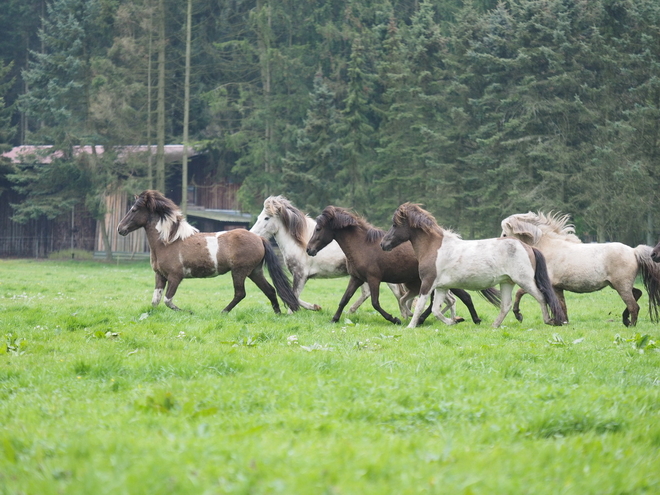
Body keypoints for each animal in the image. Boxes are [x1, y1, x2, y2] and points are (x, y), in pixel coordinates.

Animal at [116, 190, 300, 314]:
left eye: (134, 209)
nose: (120, 229)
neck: (168, 241)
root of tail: (260, 239)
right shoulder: (160, 276)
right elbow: (155, 300)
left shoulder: (176, 277)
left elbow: (168, 300)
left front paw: (188, 312)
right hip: (254, 271)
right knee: (270, 290)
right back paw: (277, 313)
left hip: (240, 271)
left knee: (240, 293)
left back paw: (223, 312)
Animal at [251, 197, 410, 316]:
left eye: (266, 218)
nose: (252, 235)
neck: (300, 243)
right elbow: (292, 296)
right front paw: (316, 307)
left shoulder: (300, 275)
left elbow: (293, 296)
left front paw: (295, 312)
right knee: (368, 293)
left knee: (397, 293)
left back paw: (404, 315)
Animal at [304, 205, 496, 326]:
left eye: (318, 228)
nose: (309, 249)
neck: (363, 246)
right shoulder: (356, 278)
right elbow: (344, 300)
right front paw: (334, 320)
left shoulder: (374, 279)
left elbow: (375, 303)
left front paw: (394, 319)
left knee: (463, 297)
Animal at [378, 203, 564, 332]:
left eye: (395, 225)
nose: (383, 244)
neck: (434, 247)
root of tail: (528, 247)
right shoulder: (441, 287)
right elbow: (437, 310)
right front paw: (452, 322)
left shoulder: (427, 283)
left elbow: (420, 307)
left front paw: (410, 326)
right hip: (506, 282)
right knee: (505, 305)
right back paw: (494, 326)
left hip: (524, 280)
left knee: (541, 297)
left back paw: (548, 320)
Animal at [500, 212, 660, 326]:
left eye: (504, 233)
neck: (548, 247)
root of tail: (634, 251)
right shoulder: (557, 287)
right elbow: (562, 306)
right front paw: (562, 322)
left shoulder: (545, 284)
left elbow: (520, 292)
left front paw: (518, 315)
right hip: (618, 285)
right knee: (637, 294)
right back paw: (625, 320)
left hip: (621, 286)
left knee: (634, 306)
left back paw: (630, 324)